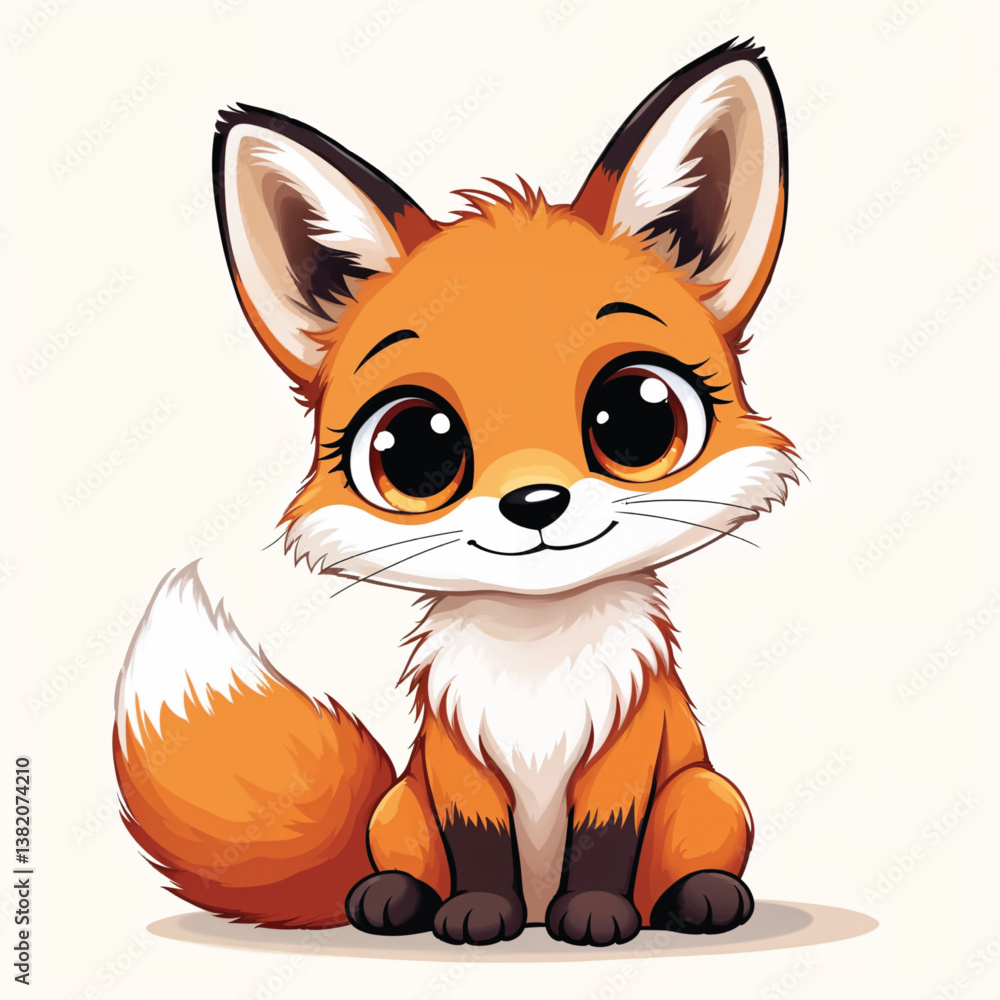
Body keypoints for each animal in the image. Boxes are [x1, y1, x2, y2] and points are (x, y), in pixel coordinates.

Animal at [113, 39, 798, 947]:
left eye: (636, 417)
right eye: (414, 445)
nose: (535, 503)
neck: (537, 658)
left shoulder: (626, 745)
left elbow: (604, 838)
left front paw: (596, 915)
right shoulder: (454, 756)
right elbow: (477, 841)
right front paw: (476, 915)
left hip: (704, 793)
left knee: (694, 852)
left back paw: (698, 899)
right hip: (401, 806)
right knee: (401, 860)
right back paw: (395, 899)